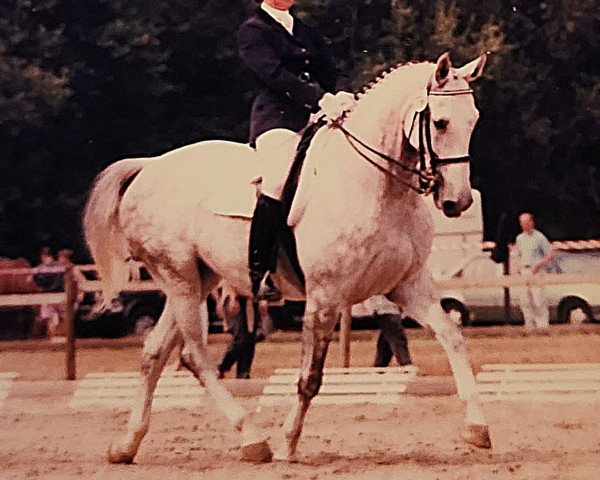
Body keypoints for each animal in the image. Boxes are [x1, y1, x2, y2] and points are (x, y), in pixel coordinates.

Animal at [82, 51, 490, 462]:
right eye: (440, 122)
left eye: (474, 120)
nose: (458, 202)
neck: (379, 186)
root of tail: (149, 167)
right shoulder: (325, 296)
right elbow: (310, 378)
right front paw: (287, 443)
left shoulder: (409, 285)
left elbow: (454, 338)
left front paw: (477, 428)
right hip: (178, 275)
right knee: (195, 355)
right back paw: (252, 439)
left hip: (198, 279)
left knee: (155, 352)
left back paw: (127, 445)